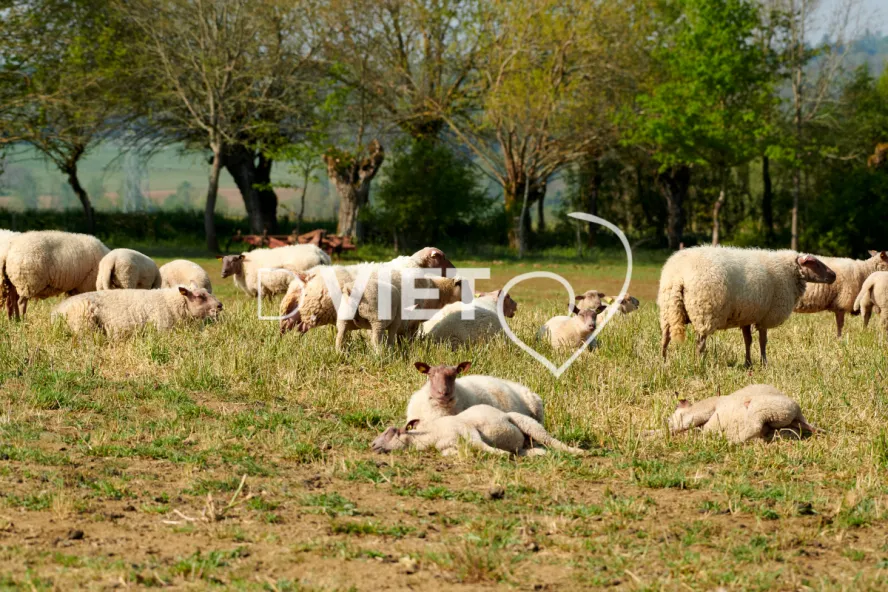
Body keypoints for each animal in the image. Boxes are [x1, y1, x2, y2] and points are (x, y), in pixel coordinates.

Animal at [658, 246, 836, 366]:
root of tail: (678, 275)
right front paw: (764, 363)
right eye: (814, 263)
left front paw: (748, 363)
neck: (789, 272)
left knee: (665, 338)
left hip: (669, 310)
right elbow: (763, 341)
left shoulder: (746, 315)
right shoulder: (766, 316)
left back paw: (663, 362)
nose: (834, 275)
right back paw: (700, 364)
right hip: (704, 311)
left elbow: (748, 341)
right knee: (700, 342)